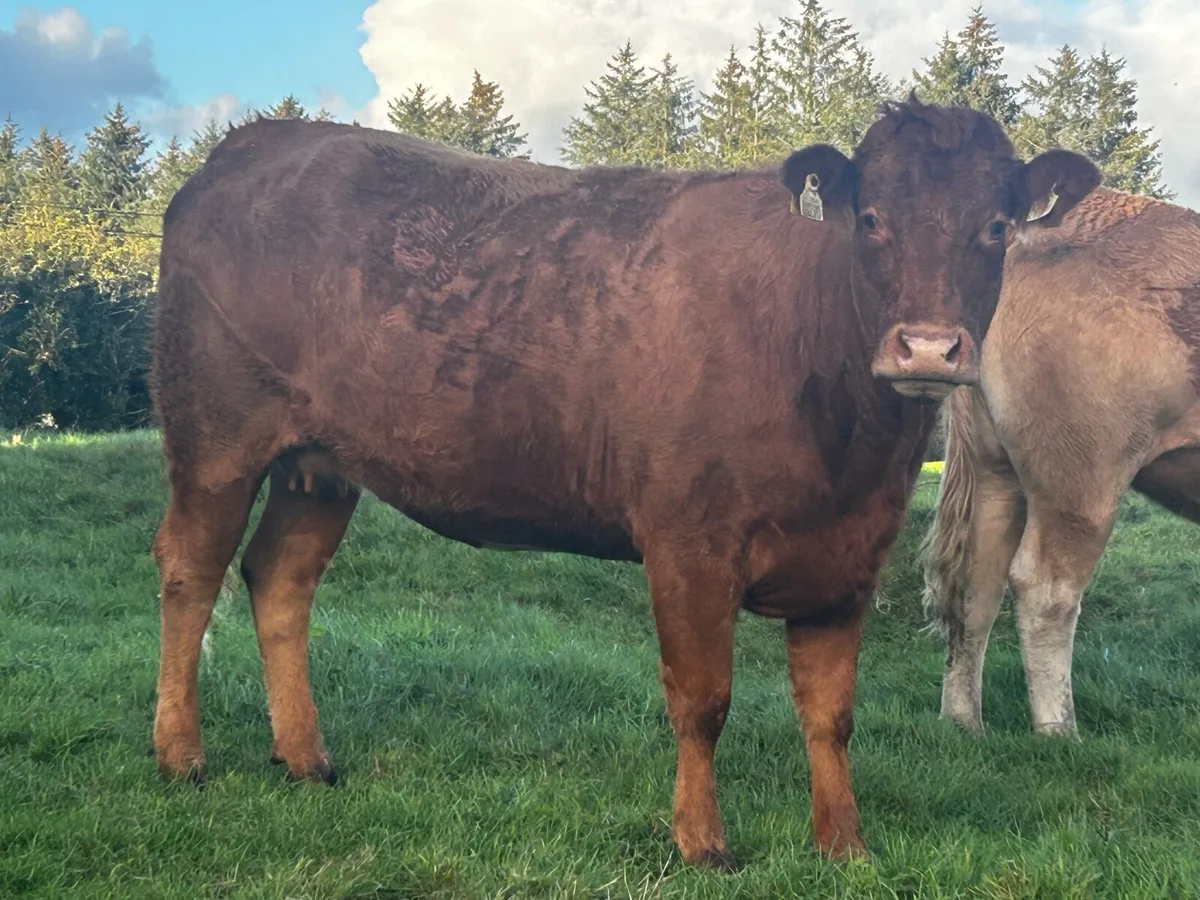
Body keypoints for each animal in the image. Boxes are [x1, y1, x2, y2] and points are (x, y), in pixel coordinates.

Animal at [148, 97, 1097, 868]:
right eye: (870, 219)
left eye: (997, 226)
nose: (929, 348)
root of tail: (256, 141)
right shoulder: (688, 541)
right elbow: (703, 700)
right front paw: (702, 842)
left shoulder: (850, 555)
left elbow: (830, 713)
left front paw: (844, 844)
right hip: (216, 436)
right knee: (189, 571)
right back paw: (180, 755)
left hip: (319, 466)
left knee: (279, 578)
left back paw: (306, 758)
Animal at [921, 187, 1200, 737]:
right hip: (1083, 472)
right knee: (1045, 587)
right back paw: (1059, 730)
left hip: (996, 470)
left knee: (976, 584)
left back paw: (963, 722)